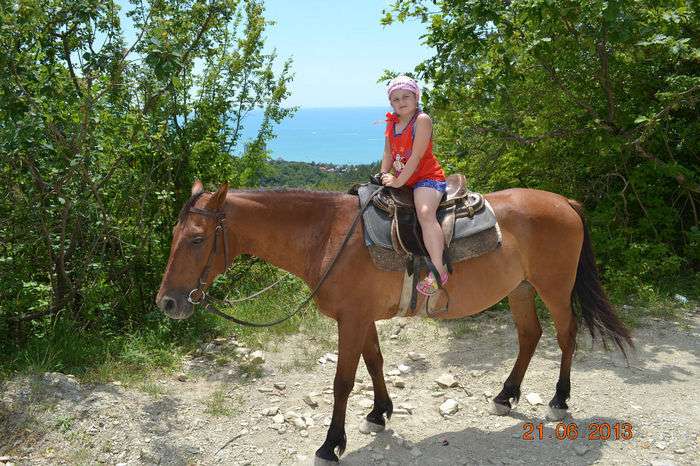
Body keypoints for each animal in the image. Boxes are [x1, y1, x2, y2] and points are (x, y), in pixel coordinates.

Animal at [157, 180, 636, 460]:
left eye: (197, 239)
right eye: (175, 235)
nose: (167, 303)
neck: (328, 236)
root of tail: (564, 202)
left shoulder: (351, 319)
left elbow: (343, 381)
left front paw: (331, 443)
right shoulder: (360, 317)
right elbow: (375, 362)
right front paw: (380, 411)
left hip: (553, 288)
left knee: (566, 334)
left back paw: (559, 398)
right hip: (519, 288)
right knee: (530, 335)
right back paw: (506, 395)